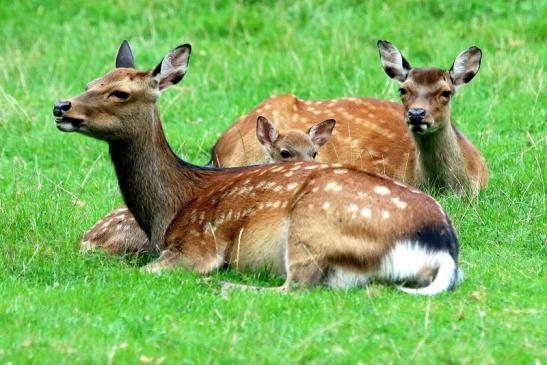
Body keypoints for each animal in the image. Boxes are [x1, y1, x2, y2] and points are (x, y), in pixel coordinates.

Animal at [54, 41, 462, 294]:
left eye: (120, 92)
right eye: (91, 82)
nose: (61, 106)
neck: (168, 210)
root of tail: (442, 247)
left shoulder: (197, 246)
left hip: (312, 224)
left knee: (296, 286)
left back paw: (224, 286)